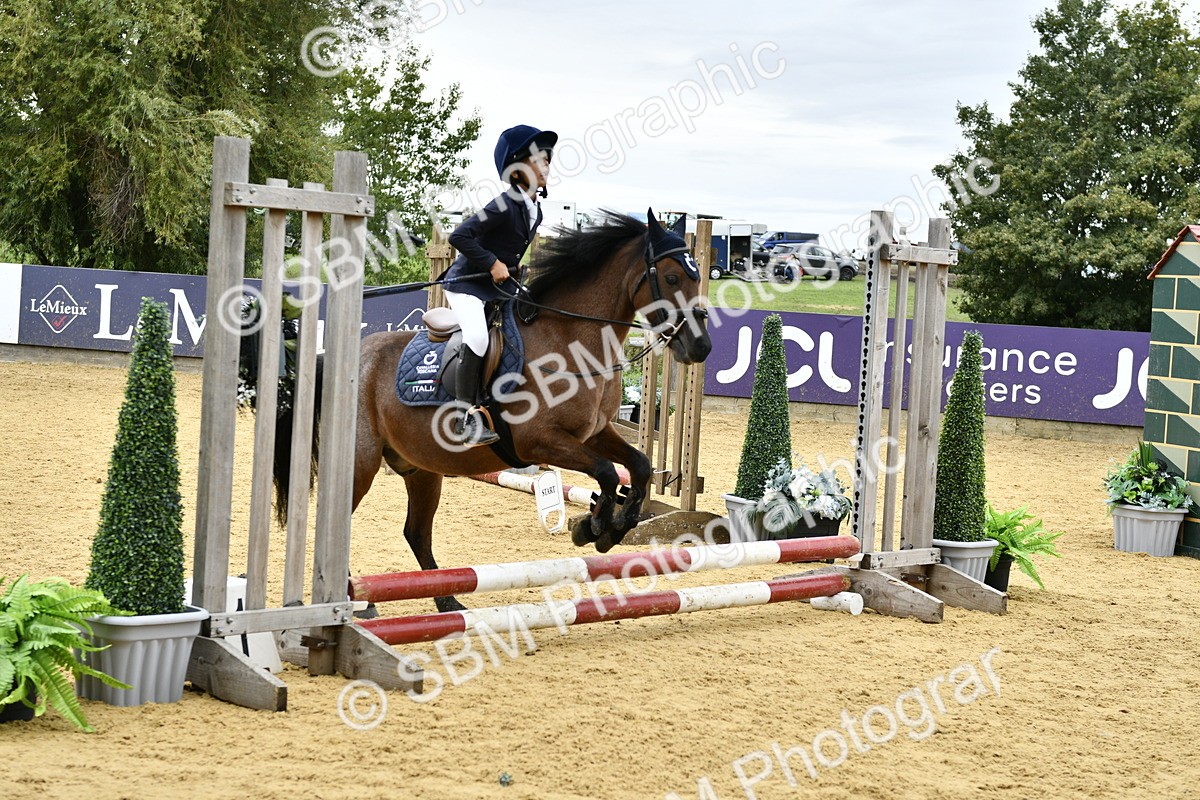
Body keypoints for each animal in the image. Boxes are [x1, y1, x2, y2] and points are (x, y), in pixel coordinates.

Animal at [269, 210, 712, 613]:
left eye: (696, 277)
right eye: (672, 278)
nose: (701, 346)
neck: (570, 341)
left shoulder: (595, 433)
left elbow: (639, 465)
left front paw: (615, 526)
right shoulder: (539, 442)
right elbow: (604, 472)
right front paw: (594, 527)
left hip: (422, 468)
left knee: (416, 533)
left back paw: (447, 601)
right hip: (360, 464)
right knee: (337, 525)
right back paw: (356, 603)